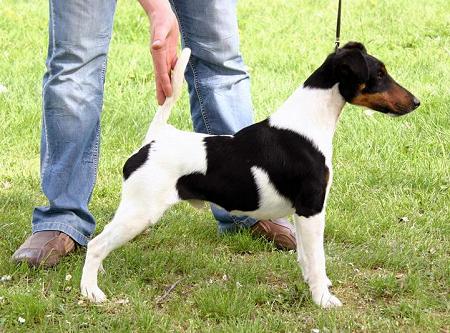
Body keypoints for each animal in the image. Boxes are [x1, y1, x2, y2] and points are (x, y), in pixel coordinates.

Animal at [81, 42, 422, 308]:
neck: (308, 122)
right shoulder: (312, 208)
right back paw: (91, 292)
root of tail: (152, 141)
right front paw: (323, 300)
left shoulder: (300, 214)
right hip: (140, 212)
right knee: (96, 245)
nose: (416, 102)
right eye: (379, 74)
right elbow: (318, 259)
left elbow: (305, 258)